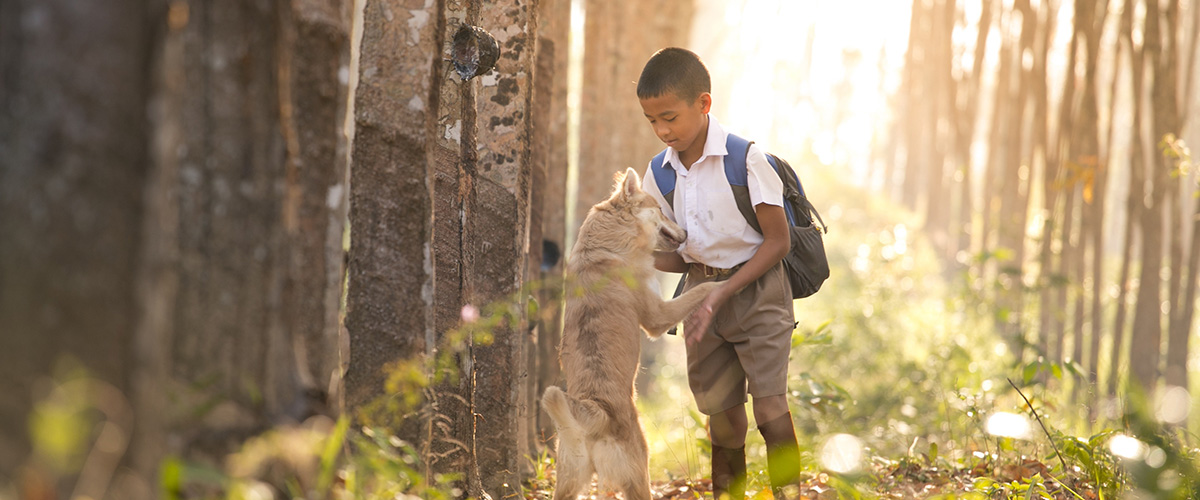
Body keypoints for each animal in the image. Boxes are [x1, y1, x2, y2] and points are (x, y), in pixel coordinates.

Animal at [540, 166, 715, 498]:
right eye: (661, 209)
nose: (686, 234)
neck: (606, 245)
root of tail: (596, 414)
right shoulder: (658, 316)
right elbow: (701, 291)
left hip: (568, 481)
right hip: (639, 473)